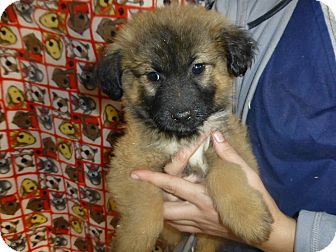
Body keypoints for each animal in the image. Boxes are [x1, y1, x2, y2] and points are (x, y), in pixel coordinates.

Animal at [96, 4, 274, 252]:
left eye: (197, 67)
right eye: (153, 75)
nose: (182, 116)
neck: (184, 138)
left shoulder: (232, 149)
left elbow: (227, 177)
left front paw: (249, 217)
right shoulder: (127, 171)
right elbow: (144, 216)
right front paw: (134, 242)